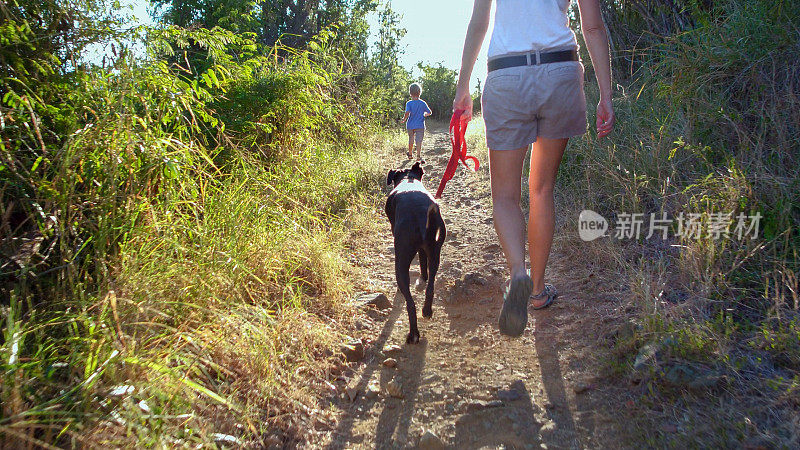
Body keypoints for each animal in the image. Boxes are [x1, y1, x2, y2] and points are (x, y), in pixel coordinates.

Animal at [386, 162, 446, 344]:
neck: (409, 178)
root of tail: (420, 216)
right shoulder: (424, 249)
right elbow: (422, 262)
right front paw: (423, 277)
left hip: (400, 263)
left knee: (410, 304)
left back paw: (413, 334)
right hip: (435, 254)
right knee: (431, 287)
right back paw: (426, 310)